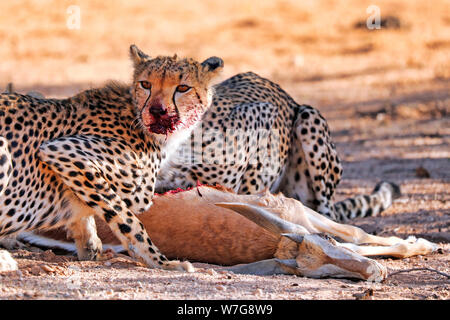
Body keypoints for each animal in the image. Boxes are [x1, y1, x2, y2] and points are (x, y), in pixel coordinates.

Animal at [0, 44, 224, 270]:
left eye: (183, 88)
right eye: (146, 84)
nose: (156, 111)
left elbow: (88, 217)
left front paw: (90, 246)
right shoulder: (62, 151)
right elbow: (128, 219)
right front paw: (161, 262)